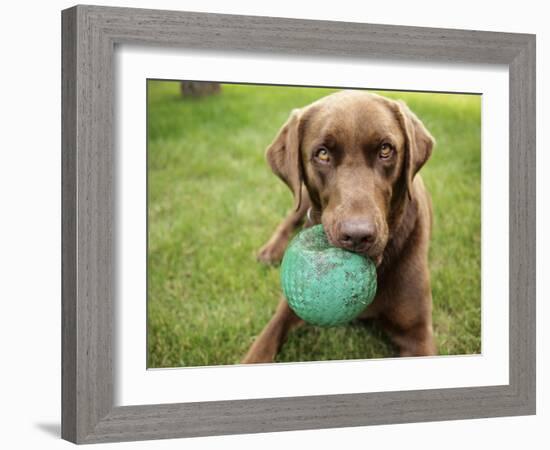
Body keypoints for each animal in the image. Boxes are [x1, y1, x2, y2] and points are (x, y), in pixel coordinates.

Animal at [246, 90, 440, 362]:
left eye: (385, 149)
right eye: (322, 153)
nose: (357, 235)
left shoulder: (417, 334)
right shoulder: (289, 307)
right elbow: (262, 344)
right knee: (291, 216)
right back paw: (270, 251)